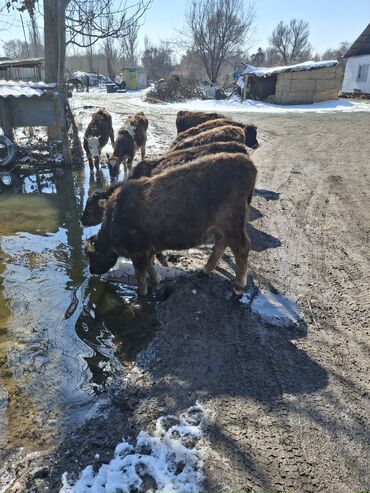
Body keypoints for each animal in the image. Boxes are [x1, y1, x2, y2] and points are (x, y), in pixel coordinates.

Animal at [85, 152, 256, 294]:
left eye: (92, 254)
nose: (92, 270)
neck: (114, 220)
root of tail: (246, 161)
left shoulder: (137, 253)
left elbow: (141, 277)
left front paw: (142, 293)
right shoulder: (147, 250)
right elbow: (151, 270)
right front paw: (157, 284)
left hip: (232, 222)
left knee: (241, 248)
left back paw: (238, 287)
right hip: (222, 226)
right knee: (222, 243)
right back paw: (206, 269)